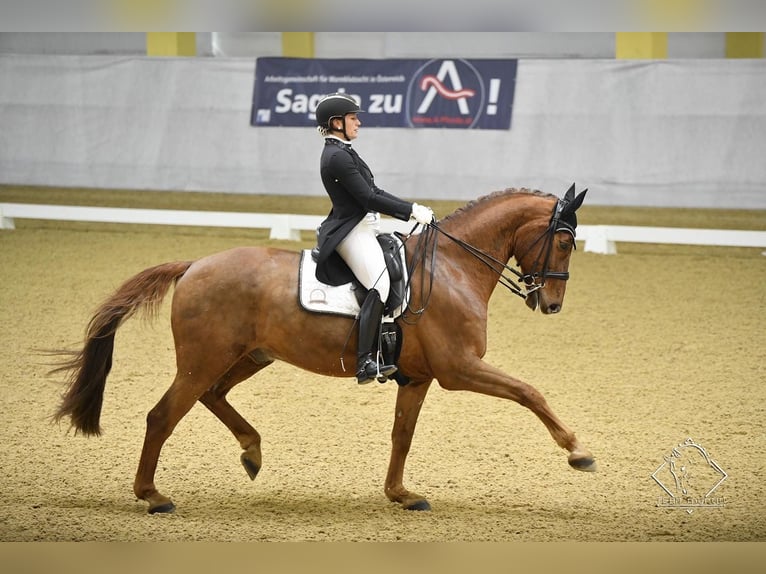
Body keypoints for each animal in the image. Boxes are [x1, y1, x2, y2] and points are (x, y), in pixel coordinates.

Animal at [51, 187, 596, 516]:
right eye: (564, 242)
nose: (551, 303)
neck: (453, 266)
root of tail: (193, 266)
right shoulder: (459, 368)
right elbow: (529, 391)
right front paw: (578, 451)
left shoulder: (419, 377)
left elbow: (402, 436)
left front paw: (400, 494)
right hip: (203, 359)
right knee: (163, 416)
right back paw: (154, 496)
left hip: (249, 356)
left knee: (213, 396)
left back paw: (252, 451)